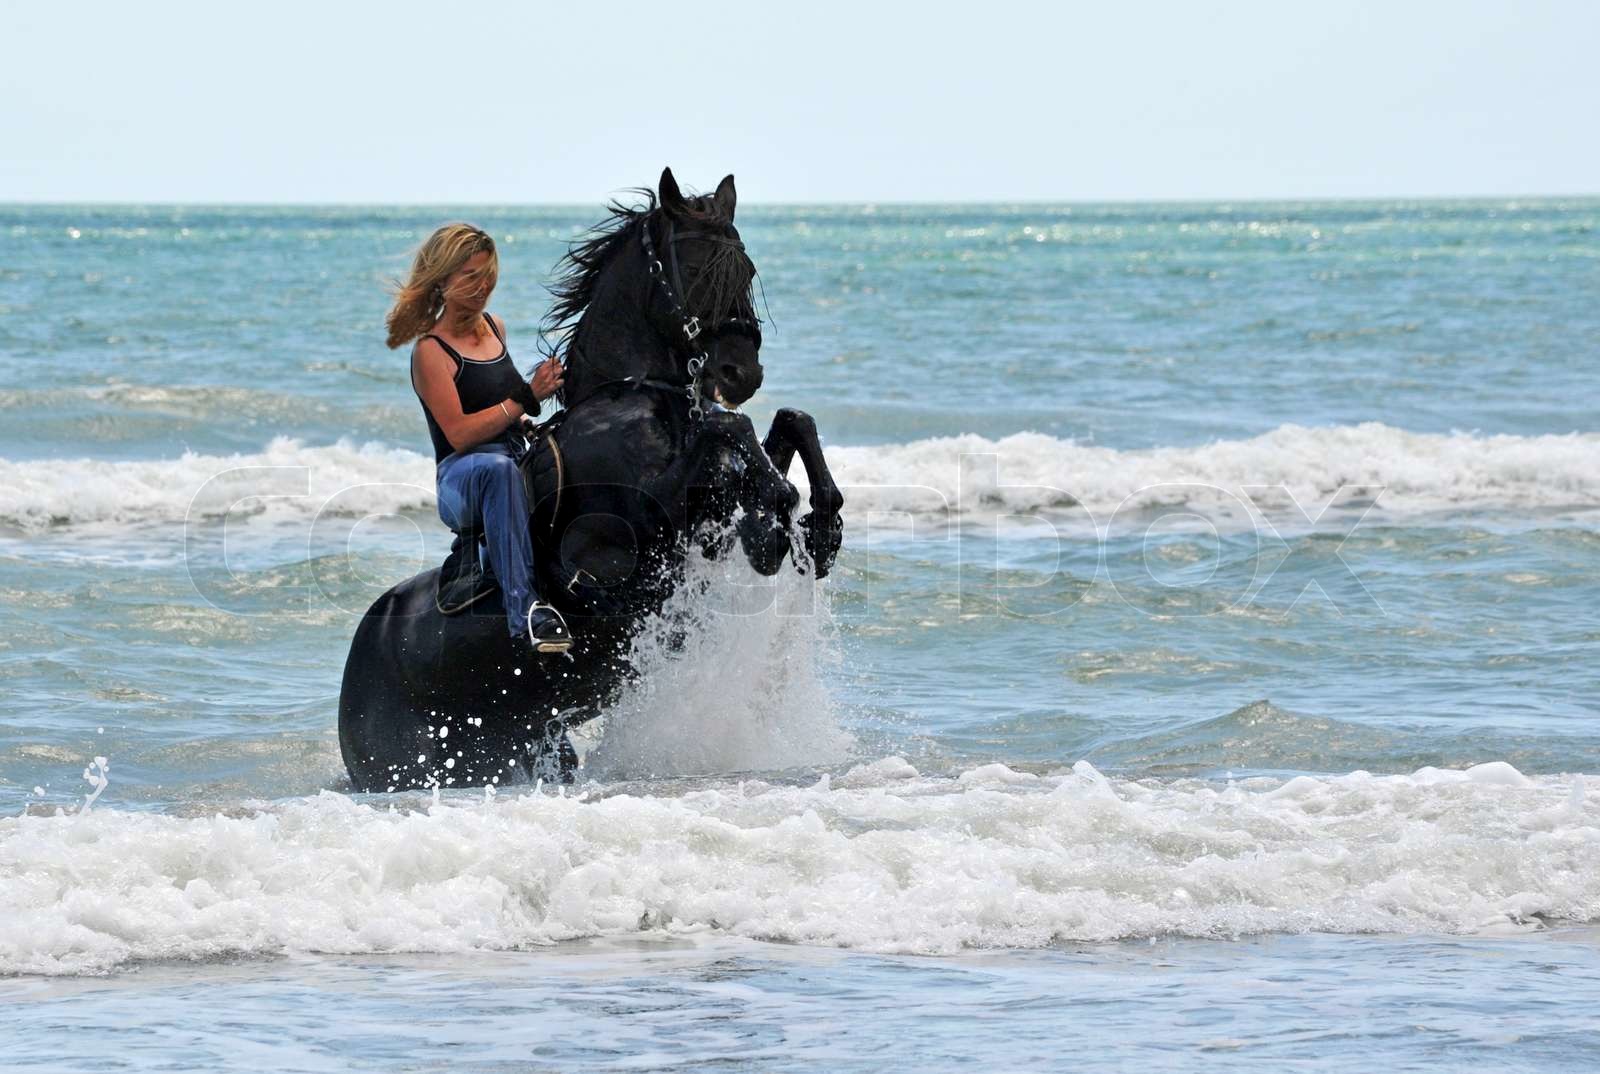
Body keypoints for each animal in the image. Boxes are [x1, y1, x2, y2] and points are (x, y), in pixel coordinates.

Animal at [338, 168, 845, 792]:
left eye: (745, 271)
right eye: (698, 268)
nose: (740, 373)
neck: (628, 398)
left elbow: (787, 423)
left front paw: (820, 526)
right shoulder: (630, 547)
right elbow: (731, 428)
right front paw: (776, 518)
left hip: (527, 744)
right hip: (411, 766)